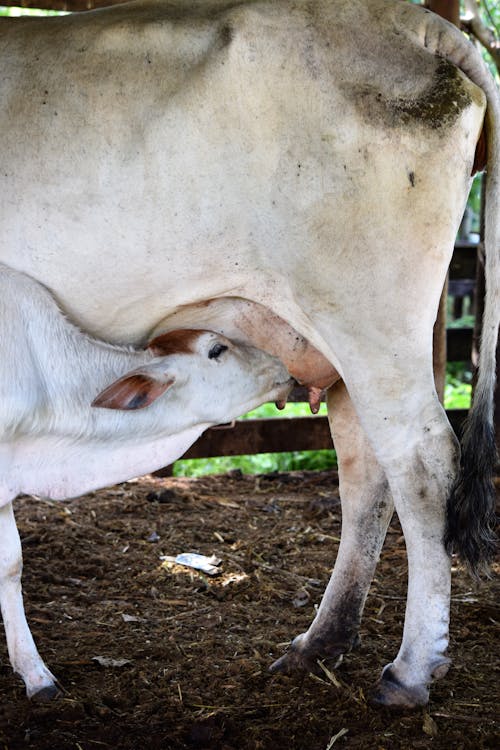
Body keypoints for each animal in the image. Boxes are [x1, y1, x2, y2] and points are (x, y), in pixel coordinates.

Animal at [0, 0, 500, 712]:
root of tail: (417, 23)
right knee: (366, 469)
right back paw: (320, 642)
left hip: (367, 317)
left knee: (422, 460)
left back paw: (411, 669)